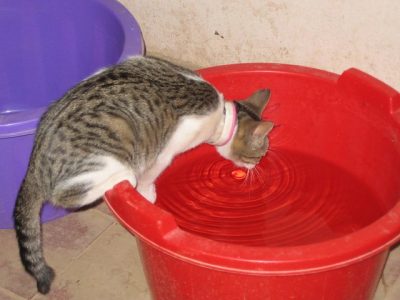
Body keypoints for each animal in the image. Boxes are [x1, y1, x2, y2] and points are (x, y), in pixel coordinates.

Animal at [13, 55, 276, 294]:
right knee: (69, 193)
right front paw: (146, 195)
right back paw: (124, 177)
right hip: (111, 147)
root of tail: (34, 166)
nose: (256, 167)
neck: (222, 117)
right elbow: (151, 175)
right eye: (259, 155)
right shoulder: (168, 148)